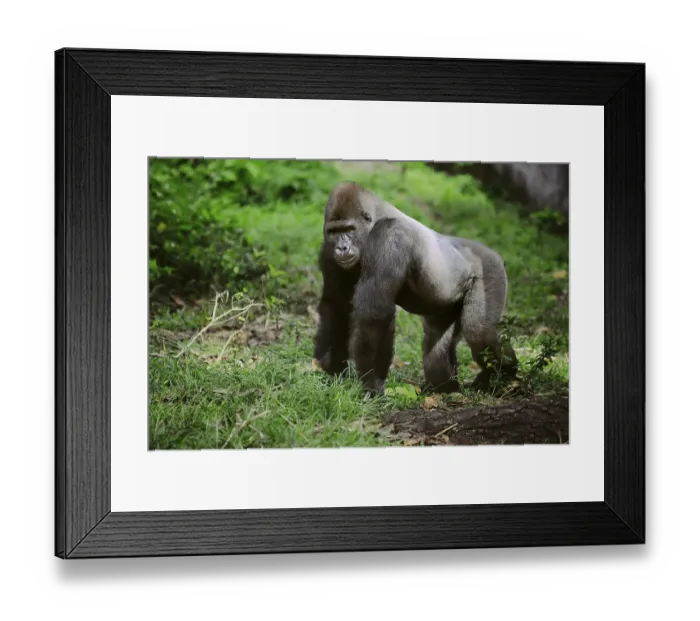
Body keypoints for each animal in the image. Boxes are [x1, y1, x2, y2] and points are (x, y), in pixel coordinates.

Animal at [313, 181, 517, 398]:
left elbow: (374, 313)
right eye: (334, 232)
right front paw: (331, 366)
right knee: (437, 344)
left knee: (480, 333)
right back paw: (446, 388)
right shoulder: (327, 249)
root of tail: (495, 254)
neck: (374, 220)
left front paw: (371, 382)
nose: (341, 247)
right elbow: (336, 305)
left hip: (490, 267)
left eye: (349, 229)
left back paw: (506, 375)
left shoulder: (391, 237)